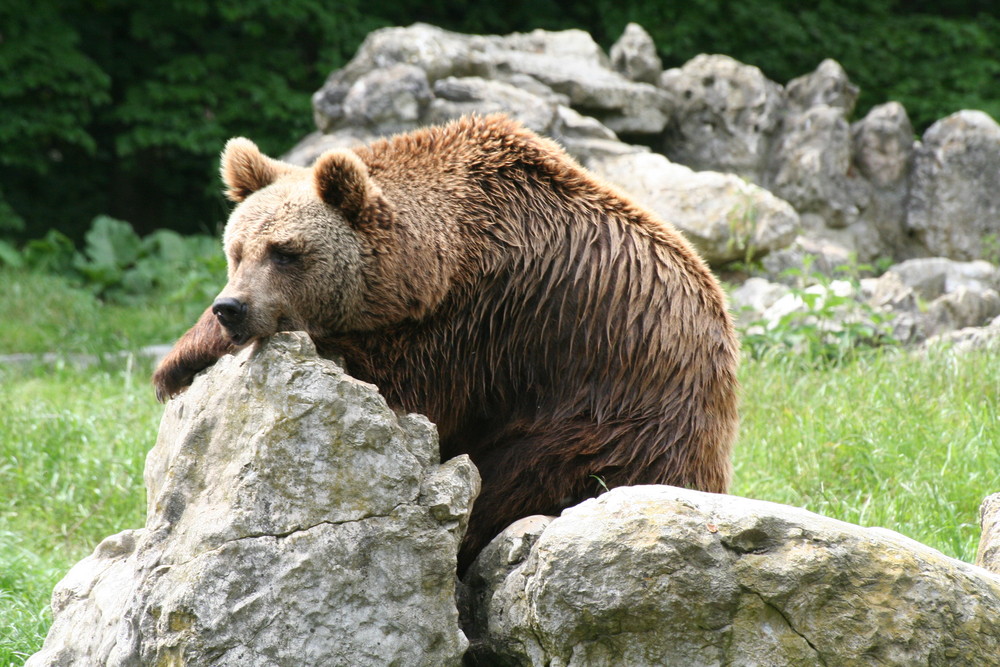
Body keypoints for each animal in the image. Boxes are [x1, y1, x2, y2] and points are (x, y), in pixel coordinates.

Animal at [152, 113, 740, 568]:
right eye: (237, 250)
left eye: (286, 252)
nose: (231, 308)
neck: (433, 260)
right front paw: (177, 361)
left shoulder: (487, 320)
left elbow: (403, 385)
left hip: (615, 421)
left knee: (524, 477)